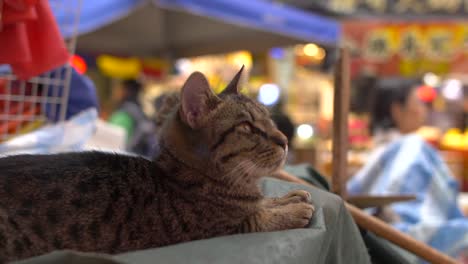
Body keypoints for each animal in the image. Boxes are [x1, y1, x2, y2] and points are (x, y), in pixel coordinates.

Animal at [0, 66, 316, 262]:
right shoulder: (218, 230)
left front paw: (289, 197)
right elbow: (258, 218)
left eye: (268, 119)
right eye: (248, 127)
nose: (285, 140)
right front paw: (292, 210)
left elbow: (263, 203)